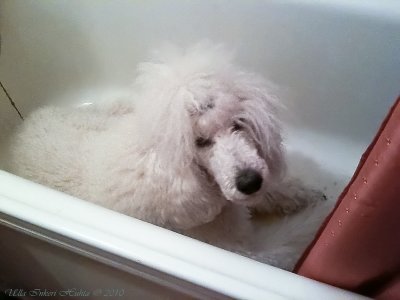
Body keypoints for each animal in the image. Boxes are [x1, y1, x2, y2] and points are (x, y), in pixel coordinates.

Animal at [7, 42, 332, 270]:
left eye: (238, 123)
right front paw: (322, 220)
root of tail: (20, 130)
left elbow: (280, 191)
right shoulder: (239, 247)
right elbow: (292, 242)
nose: (250, 182)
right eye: (200, 142)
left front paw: (311, 192)